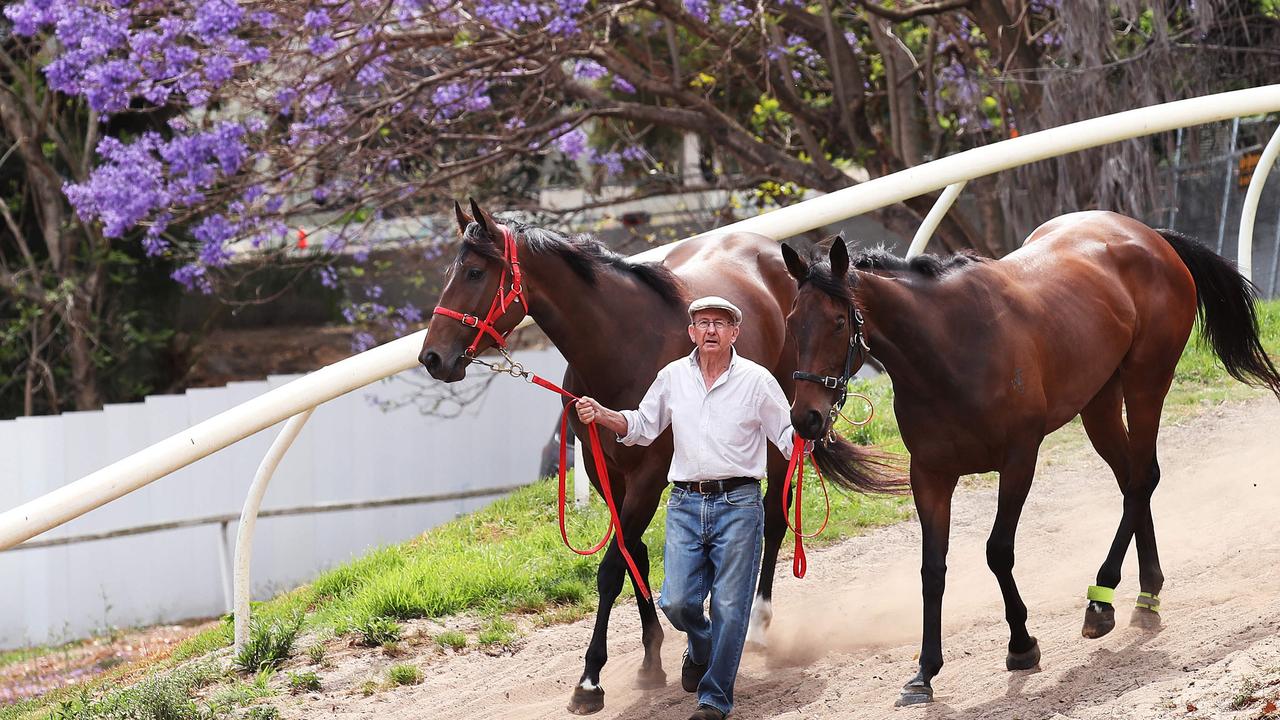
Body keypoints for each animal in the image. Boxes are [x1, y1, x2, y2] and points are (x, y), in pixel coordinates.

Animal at [417, 198, 901, 707]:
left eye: (474, 272)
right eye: (452, 271)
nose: (432, 357)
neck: (623, 344)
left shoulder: (650, 475)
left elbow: (612, 568)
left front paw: (590, 680)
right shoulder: (607, 472)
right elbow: (636, 555)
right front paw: (654, 658)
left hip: (780, 432)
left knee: (772, 517)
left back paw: (756, 624)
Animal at [773, 210, 1280, 702]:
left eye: (839, 322)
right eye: (792, 323)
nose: (807, 419)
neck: (950, 350)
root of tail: (1148, 235)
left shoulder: (1019, 459)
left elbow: (998, 551)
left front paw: (1021, 645)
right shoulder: (930, 475)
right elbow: (932, 570)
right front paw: (924, 672)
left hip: (1146, 381)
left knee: (1141, 479)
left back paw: (1101, 600)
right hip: (1099, 401)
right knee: (1131, 480)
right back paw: (1146, 595)